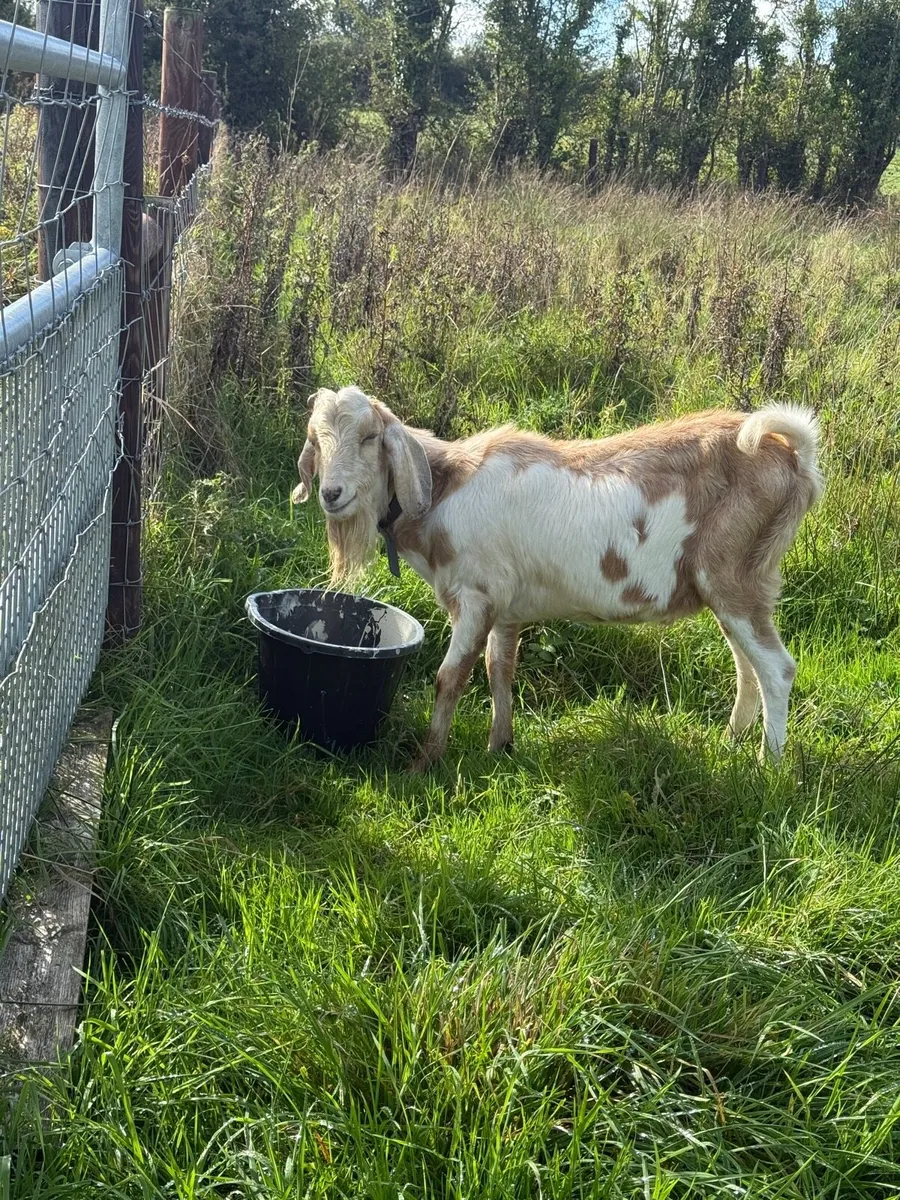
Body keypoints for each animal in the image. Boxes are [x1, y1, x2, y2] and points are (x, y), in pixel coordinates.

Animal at [291, 386, 823, 770]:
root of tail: (791, 457)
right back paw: (731, 741)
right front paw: (499, 747)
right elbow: (499, 670)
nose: (332, 493)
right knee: (748, 667)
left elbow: (449, 679)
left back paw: (768, 767)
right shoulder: (505, 607)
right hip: (729, 589)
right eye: (316, 440)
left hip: (735, 579)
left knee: (776, 668)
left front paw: (424, 764)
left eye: (369, 437)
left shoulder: (476, 597)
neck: (445, 489)